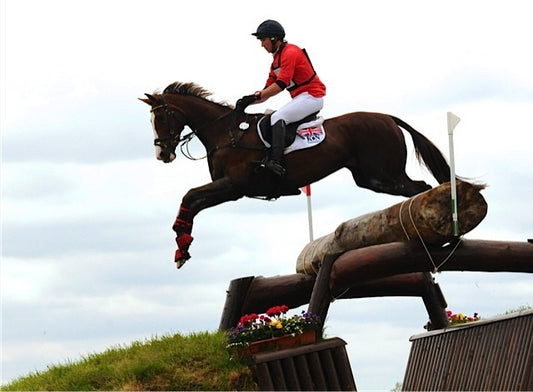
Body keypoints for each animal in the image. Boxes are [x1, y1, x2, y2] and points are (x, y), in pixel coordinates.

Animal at [140, 81, 454, 268]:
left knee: (420, 187)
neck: (224, 133)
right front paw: (182, 248)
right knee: (416, 188)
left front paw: (182, 243)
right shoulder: (228, 189)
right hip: (372, 178)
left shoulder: (233, 187)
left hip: (385, 173)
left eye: (162, 117)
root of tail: (388, 118)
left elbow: (190, 196)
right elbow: (191, 202)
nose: (162, 154)